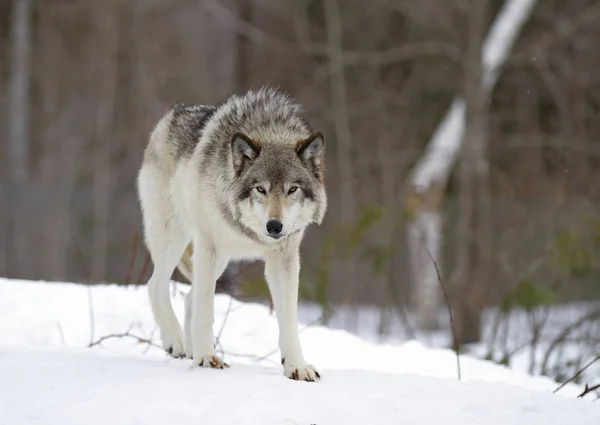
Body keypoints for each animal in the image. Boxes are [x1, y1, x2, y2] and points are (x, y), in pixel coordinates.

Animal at [137, 86, 328, 380]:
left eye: (292, 189)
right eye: (260, 189)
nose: (275, 226)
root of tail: (172, 114)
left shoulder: (284, 259)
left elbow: (289, 321)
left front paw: (296, 366)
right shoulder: (209, 246)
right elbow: (205, 310)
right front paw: (206, 358)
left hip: (216, 259)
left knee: (189, 296)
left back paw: (190, 349)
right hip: (177, 240)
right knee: (156, 285)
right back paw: (177, 342)